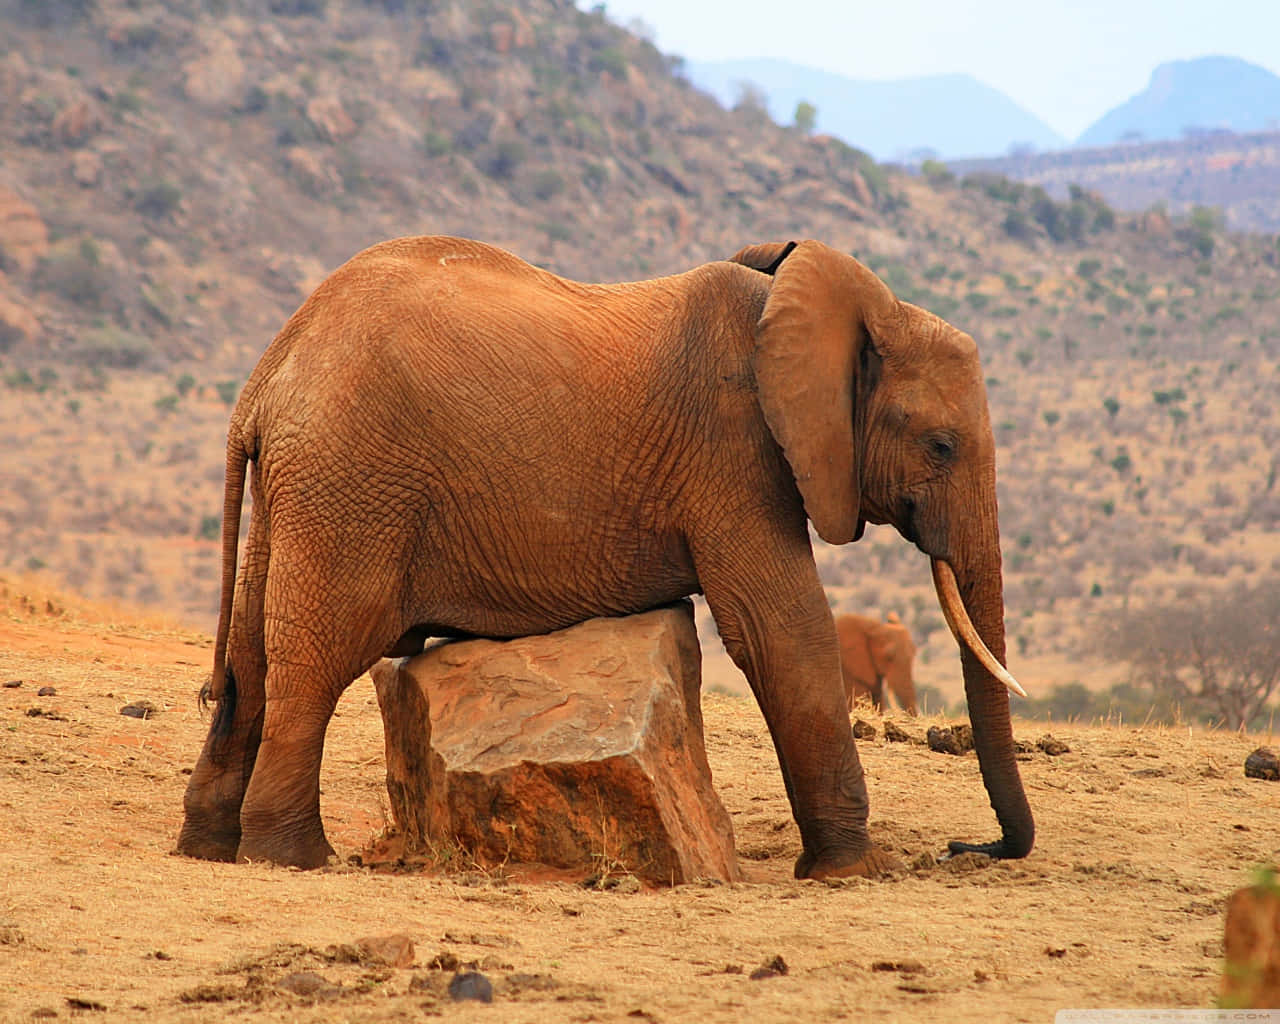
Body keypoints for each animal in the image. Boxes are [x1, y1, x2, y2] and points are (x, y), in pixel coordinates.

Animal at [175, 234, 1034, 880]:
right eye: (941, 445)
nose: (969, 847)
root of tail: (265, 379)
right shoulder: (734, 452)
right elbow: (779, 632)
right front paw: (853, 871)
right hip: (349, 480)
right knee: (316, 660)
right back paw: (296, 858)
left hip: (298, 489)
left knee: (250, 662)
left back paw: (210, 847)